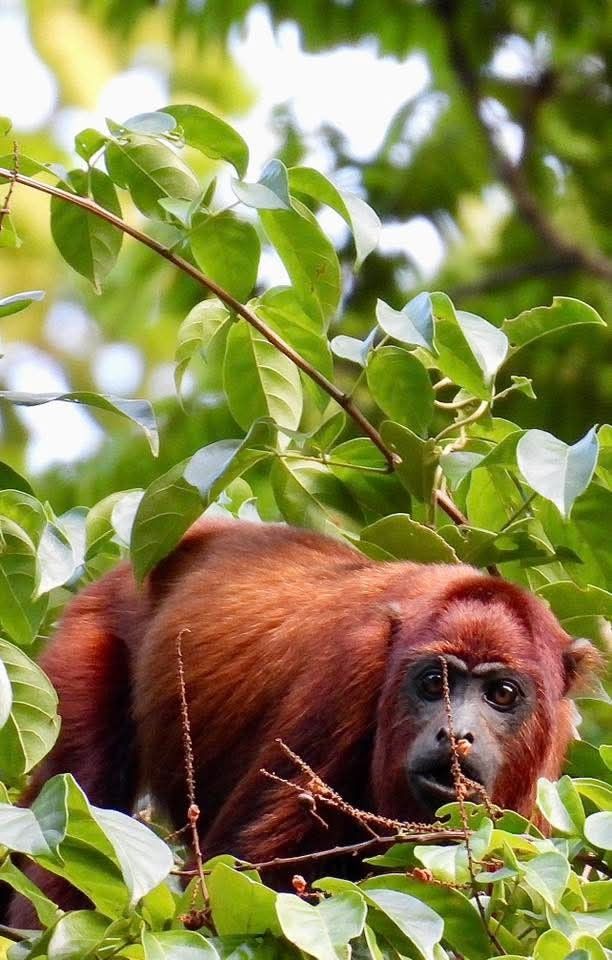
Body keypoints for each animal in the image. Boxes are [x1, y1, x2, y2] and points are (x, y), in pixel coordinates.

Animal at [7, 516, 598, 926]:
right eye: (434, 684)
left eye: (502, 694)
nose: (455, 736)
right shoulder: (348, 677)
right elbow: (244, 869)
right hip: (87, 642)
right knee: (85, 796)